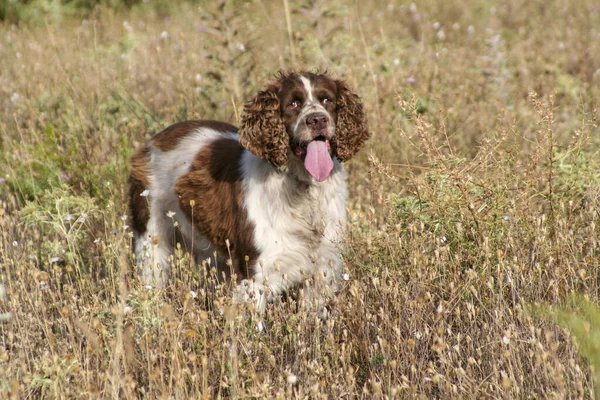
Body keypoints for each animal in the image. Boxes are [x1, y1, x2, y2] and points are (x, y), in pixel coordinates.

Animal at [129, 71, 368, 316]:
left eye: (327, 100)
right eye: (293, 103)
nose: (318, 120)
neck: (302, 187)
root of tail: (154, 140)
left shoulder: (323, 270)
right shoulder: (256, 275)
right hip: (151, 239)